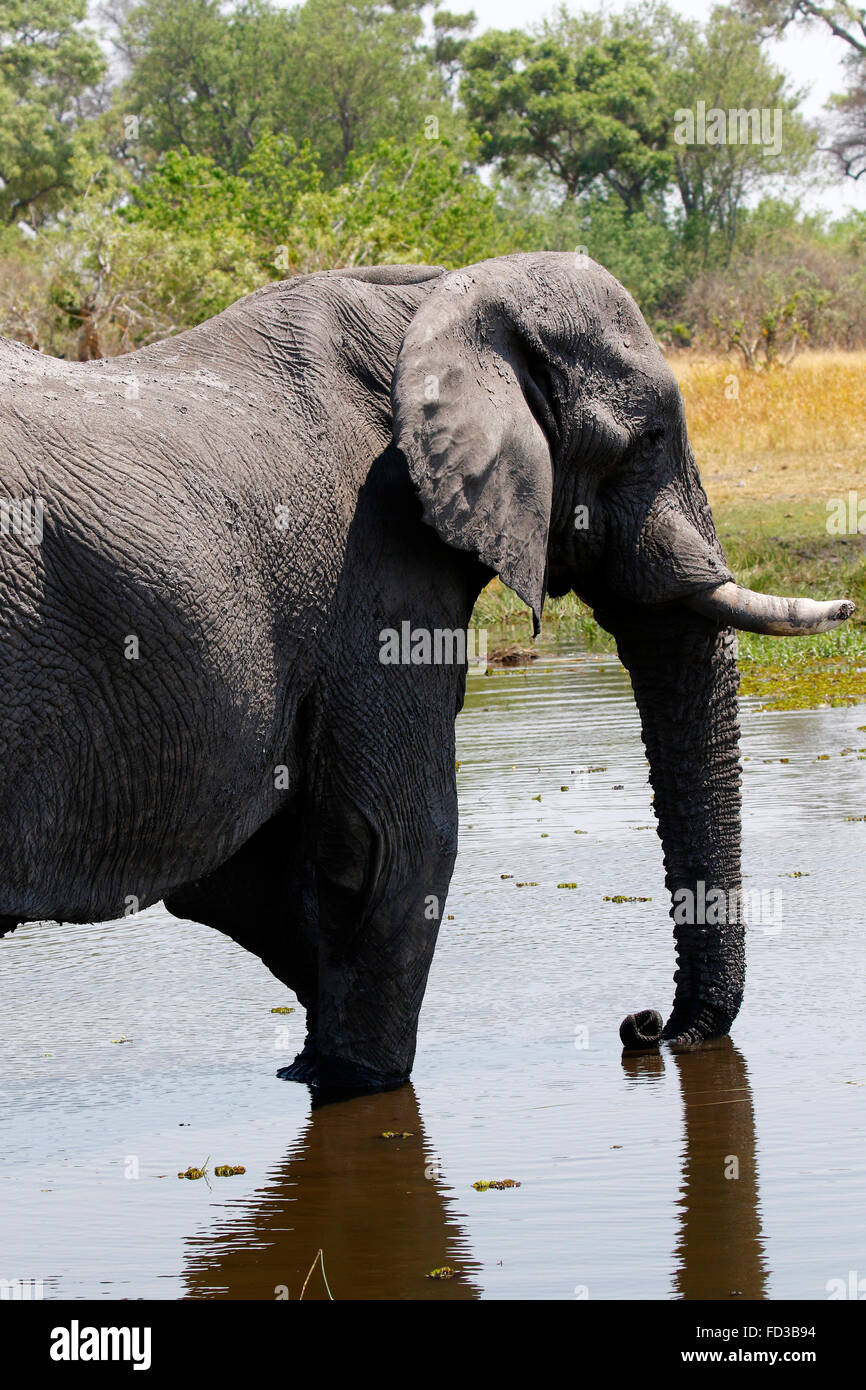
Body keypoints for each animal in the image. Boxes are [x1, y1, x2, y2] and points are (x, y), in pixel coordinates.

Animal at [0, 253, 853, 1096]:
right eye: (645, 440)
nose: (646, 1026)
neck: (442, 297)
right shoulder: (374, 559)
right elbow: (397, 844)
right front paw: (357, 1081)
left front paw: (304, 1073)